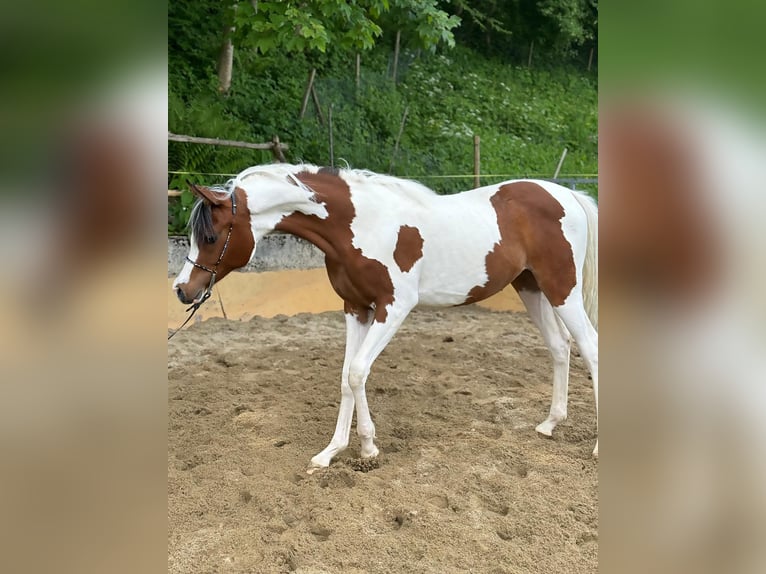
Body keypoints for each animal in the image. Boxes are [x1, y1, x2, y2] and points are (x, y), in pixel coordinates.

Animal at [174, 164, 600, 470]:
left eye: (210, 237)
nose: (182, 291)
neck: (358, 224)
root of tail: (568, 195)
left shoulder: (394, 307)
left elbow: (358, 371)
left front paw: (367, 448)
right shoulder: (356, 308)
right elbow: (346, 377)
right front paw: (333, 451)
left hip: (562, 288)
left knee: (591, 348)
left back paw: (596, 447)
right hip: (531, 287)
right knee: (560, 346)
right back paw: (549, 424)